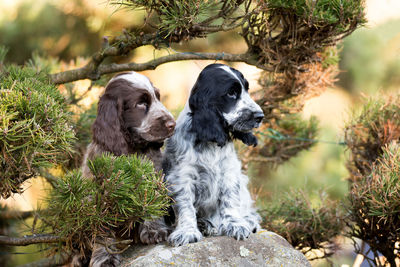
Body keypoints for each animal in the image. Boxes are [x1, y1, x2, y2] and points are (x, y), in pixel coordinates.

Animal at [161, 63, 264, 248]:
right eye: (231, 93)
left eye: (247, 89)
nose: (260, 116)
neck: (209, 140)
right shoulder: (181, 176)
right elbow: (185, 205)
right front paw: (187, 232)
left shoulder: (229, 170)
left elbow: (230, 199)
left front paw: (235, 225)